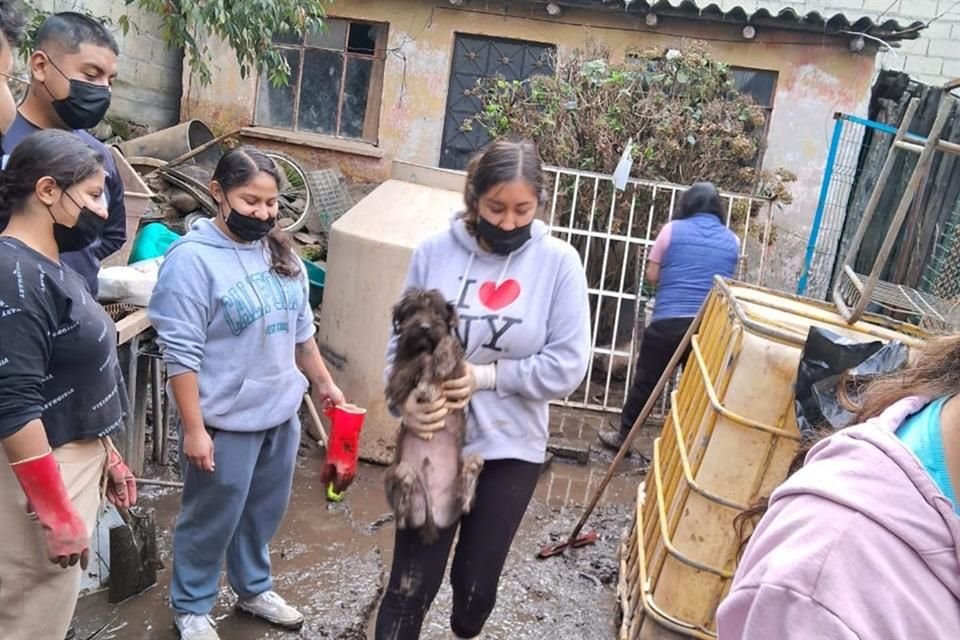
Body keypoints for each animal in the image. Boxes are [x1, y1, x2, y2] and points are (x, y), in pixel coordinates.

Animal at [384, 288, 484, 544]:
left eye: (438, 313)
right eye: (412, 311)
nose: (425, 327)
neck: (426, 345)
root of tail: (432, 514)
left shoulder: (458, 375)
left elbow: (451, 343)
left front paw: (442, 358)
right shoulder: (396, 381)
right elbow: (418, 360)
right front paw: (427, 379)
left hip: (458, 480)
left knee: (464, 497)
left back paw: (470, 473)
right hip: (391, 473)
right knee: (400, 513)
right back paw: (405, 486)